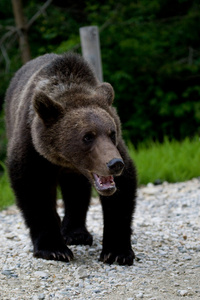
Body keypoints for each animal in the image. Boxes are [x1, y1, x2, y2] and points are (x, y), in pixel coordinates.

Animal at [5, 52, 138, 266]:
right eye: (87, 136)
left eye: (112, 133)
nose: (115, 164)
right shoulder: (32, 147)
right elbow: (34, 188)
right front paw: (54, 249)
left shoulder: (117, 150)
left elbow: (122, 193)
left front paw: (117, 252)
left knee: (76, 191)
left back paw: (76, 234)